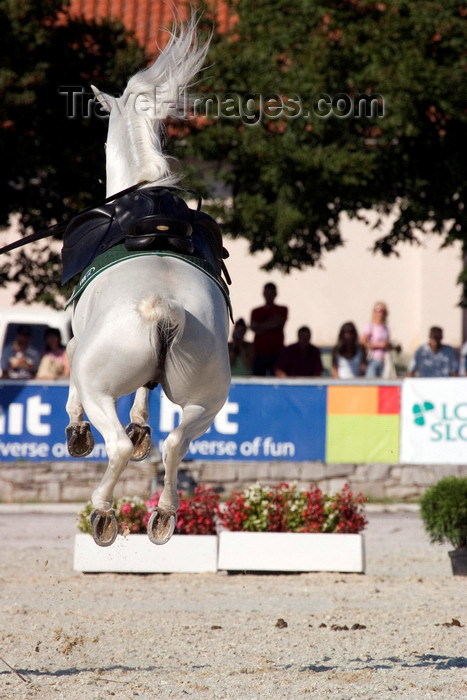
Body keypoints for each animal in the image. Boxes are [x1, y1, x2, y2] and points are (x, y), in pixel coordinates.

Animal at [65, 20, 233, 548]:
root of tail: (165, 307)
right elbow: (146, 393)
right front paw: (143, 427)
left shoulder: (76, 339)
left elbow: (70, 366)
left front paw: (77, 431)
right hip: (207, 400)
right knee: (177, 441)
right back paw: (163, 515)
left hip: (101, 388)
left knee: (115, 444)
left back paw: (103, 511)